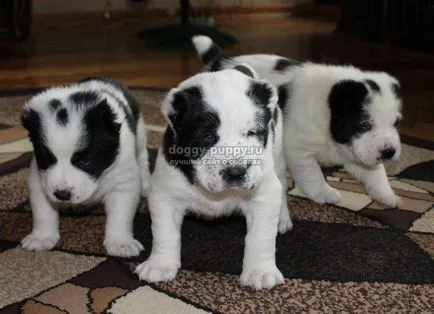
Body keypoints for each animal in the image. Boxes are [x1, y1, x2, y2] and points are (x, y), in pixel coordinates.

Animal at [19, 77, 151, 256]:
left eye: (85, 160)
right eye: (47, 158)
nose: (62, 194)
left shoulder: (123, 181)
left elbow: (120, 215)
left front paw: (120, 242)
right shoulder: (39, 178)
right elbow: (43, 211)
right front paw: (41, 237)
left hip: (140, 132)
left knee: (143, 157)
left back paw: (147, 184)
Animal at [135, 65, 292, 290]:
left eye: (252, 132)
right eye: (207, 136)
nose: (236, 171)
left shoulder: (263, 195)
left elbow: (260, 236)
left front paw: (261, 271)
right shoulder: (165, 194)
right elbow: (165, 232)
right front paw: (159, 264)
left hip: (277, 155)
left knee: (282, 183)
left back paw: (283, 218)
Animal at [193, 35, 404, 209]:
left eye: (395, 124)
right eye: (364, 125)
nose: (389, 152)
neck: (326, 111)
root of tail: (222, 62)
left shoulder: (358, 151)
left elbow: (375, 172)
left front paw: (386, 194)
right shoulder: (299, 150)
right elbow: (312, 174)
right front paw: (324, 193)